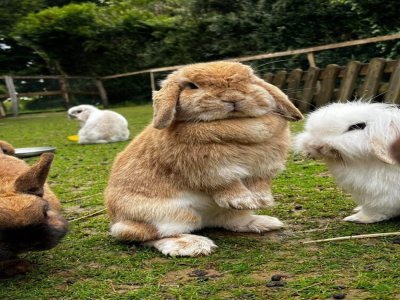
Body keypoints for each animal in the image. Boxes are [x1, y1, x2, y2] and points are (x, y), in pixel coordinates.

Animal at [104, 62, 302, 256]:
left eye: (249, 79)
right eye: (192, 86)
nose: (232, 97)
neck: (233, 124)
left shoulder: (263, 168)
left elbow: (260, 183)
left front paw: (262, 201)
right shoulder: (213, 170)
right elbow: (227, 184)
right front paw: (243, 201)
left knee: (230, 221)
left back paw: (263, 222)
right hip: (169, 215)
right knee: (137, 234)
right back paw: (191, 245)